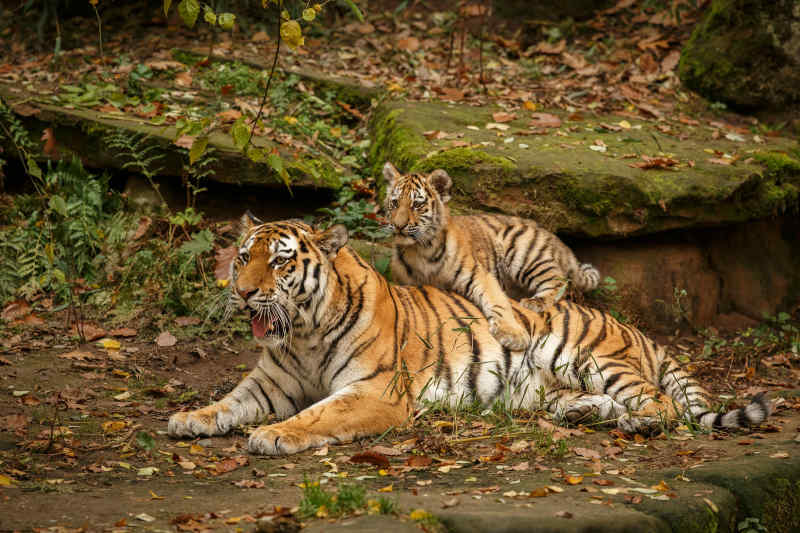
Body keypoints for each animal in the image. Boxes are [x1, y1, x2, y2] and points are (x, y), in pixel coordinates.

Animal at [167, 216, 768, 454]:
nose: (243, 292)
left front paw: (274, 435)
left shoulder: (377, 391)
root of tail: (634, 329)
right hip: (551, 385)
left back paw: (638, 422)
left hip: (589, 356)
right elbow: (227, 402)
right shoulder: (270, 383)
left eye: (279, 262)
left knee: (660, 403)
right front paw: (188, 419)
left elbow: (319, 415)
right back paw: (579, 414)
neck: (304, 334)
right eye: (243, 257)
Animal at [382, 162, 600, 352]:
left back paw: (535, 302)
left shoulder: (479, 274)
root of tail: (553, 236)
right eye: (395, 203)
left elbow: (498, 301)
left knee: (559, 280)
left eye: (417, 205)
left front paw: (513, 335)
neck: (420, 250)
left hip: (521, 247)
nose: (398, 225)